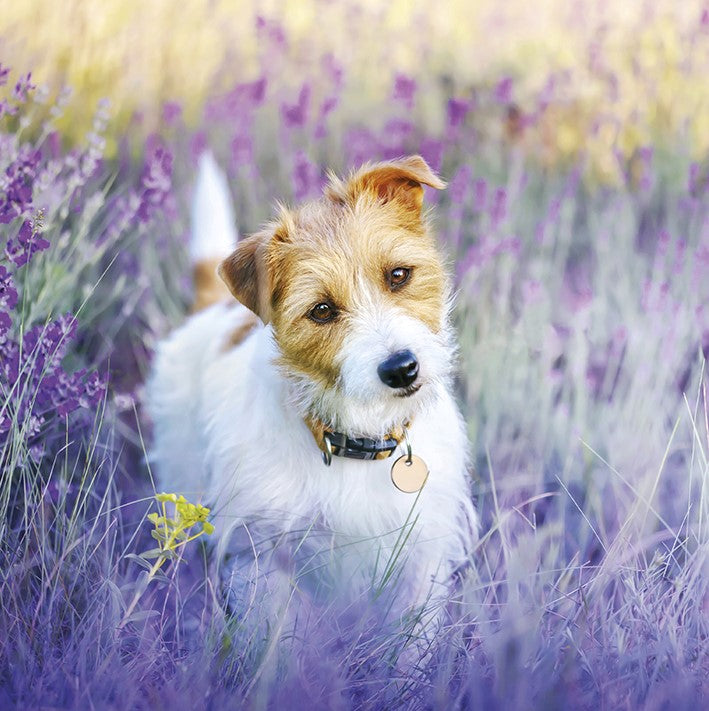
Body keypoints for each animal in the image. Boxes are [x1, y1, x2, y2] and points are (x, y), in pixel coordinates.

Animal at [145, 153, 476, 620]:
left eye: (398, 274)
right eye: (321, 310)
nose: (401, 369)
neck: (356, 439)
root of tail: (217, 306)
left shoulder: (421, 555)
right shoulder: (263, 559)